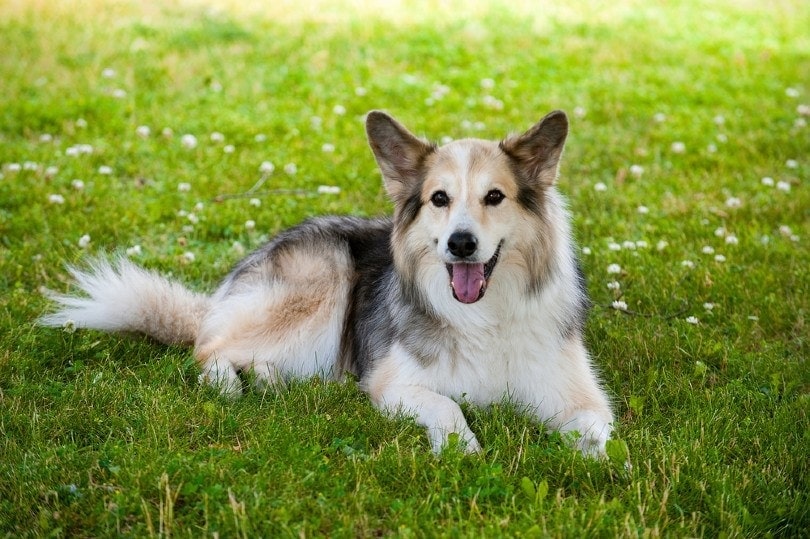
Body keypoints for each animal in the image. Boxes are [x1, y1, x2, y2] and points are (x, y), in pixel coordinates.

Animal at [41, 109, 612, 456]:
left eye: (495, 197)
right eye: (439, 199)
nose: (461, 244)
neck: (485, 316)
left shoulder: (578, 394)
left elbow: (600, 432)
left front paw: (608, 468)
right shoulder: (391, 383)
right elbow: (447, 406)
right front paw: (463, 450)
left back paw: (273, 383)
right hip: (325, 276)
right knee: (208, 348)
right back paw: (230, 384)